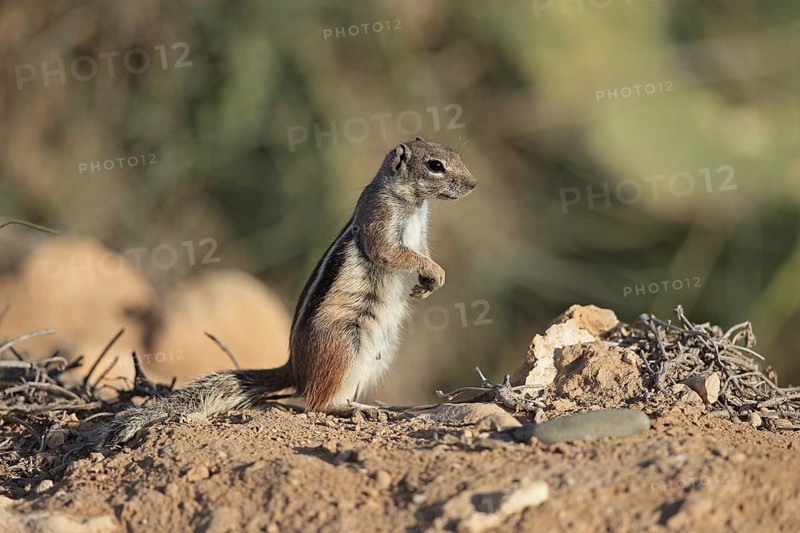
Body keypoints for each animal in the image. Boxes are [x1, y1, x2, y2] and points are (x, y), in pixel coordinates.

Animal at [100, 137, 477, 445]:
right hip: (344, 342)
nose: (473, 184)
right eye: (436, 165)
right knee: (317, 403)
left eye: (456, 154)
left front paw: (430, 281)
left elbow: (420, 251)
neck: (414, 203)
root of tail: (294, 367)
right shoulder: (379, 219)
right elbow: (392, 252)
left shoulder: (421, 234)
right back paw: (352, 409)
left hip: (378, 354)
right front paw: (433, 273)